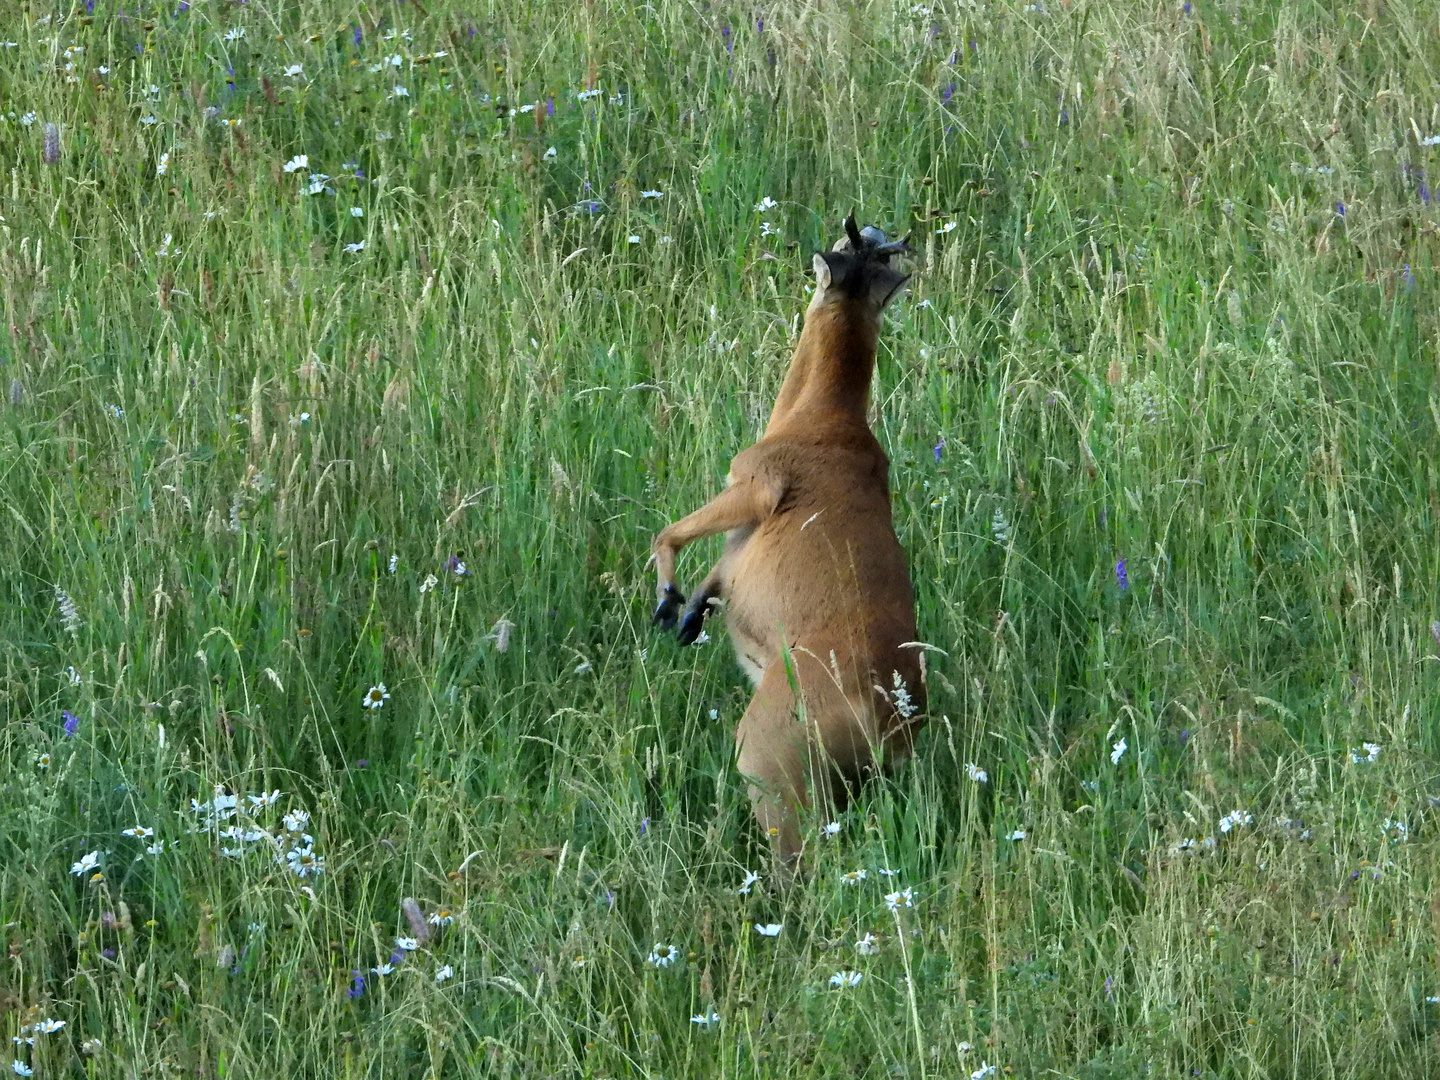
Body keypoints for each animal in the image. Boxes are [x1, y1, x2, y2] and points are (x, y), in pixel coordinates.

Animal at [650, 213, 921, 881]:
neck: (824, 420)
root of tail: (885, 712)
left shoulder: (754, 486)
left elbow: (670, 534)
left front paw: (668, 602)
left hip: (767, 769)